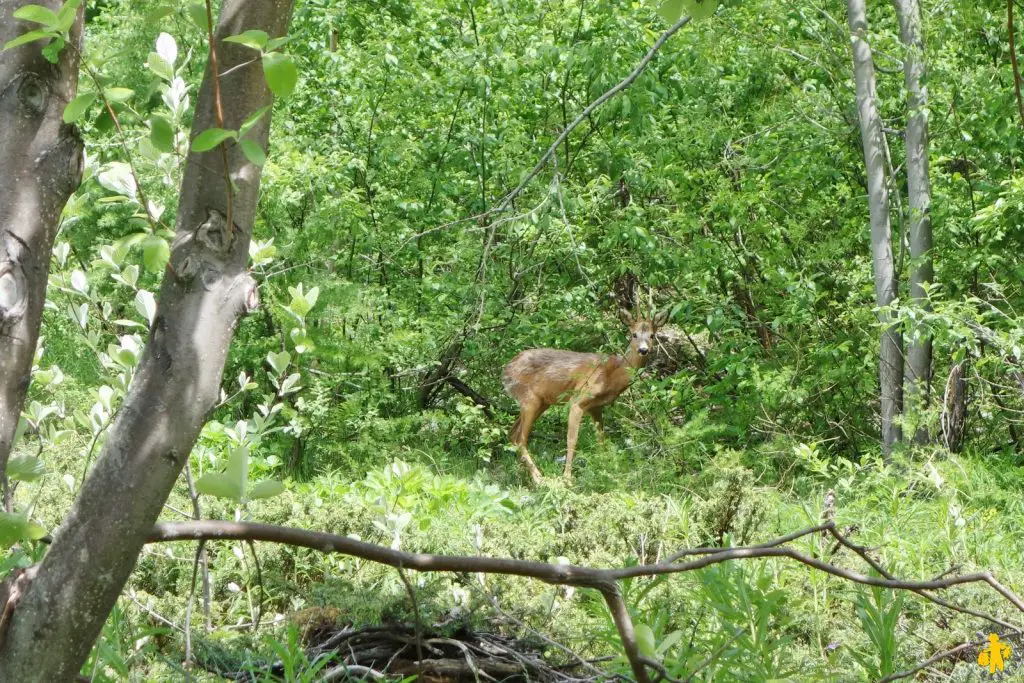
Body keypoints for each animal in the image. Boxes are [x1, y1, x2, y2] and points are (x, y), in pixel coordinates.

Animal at [499, 305, 667, 485]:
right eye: (634, 334)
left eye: (652, 335)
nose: (643, 350)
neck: (613, 374)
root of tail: (506, 370)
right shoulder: (578, 400)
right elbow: (572, 439)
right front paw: (567, 478)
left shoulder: (596, 407)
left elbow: (601, 439)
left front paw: (606, 469)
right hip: (529, 398)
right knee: (521, 439)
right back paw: (538, 478)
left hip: (542, 402)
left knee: (513, 434)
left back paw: (524, 474)